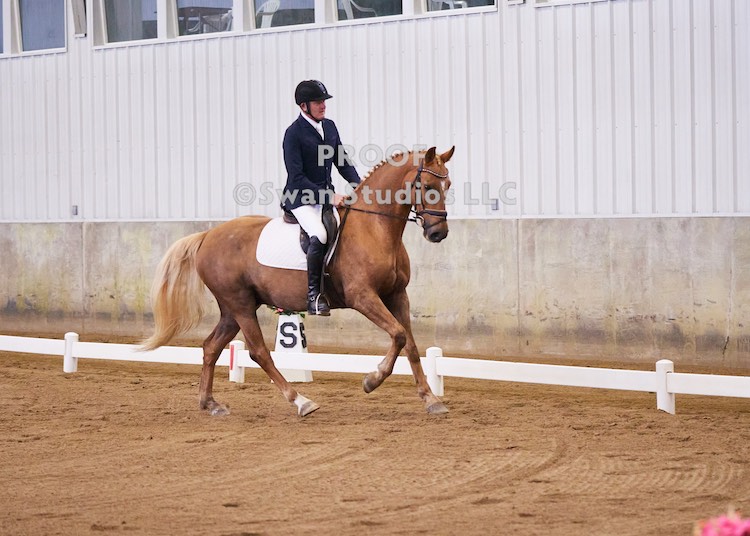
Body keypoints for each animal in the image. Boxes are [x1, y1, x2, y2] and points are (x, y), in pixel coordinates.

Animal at [141, 146, 455, 417]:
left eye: (448, 186)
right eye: (428, 187)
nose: (438, 233)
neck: (375, 227)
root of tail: (208, 235)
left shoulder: (397, 295)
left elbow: (410, 344)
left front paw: (431, 399)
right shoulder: (363, 297)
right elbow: (399, 334)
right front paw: (372, 379)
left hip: (232, 309)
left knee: (210, 347)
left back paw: (210, 403)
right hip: (240, 305)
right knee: (258, 352)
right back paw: (301, 401)